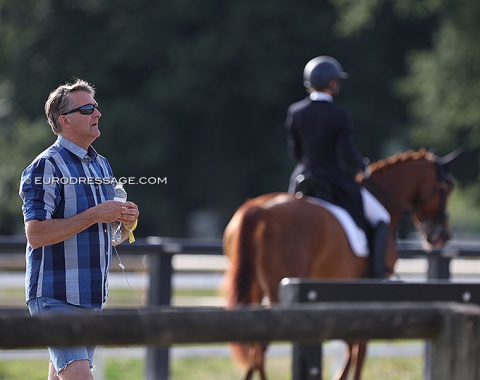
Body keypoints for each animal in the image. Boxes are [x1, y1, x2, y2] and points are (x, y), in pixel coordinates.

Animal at [223, 148, 460, 380]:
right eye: (445, 187)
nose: (443, 235)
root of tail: (258, 209)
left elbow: (348, 340)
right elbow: (359, 345)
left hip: (255, 290)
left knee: (254, 345)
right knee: (261, 345)